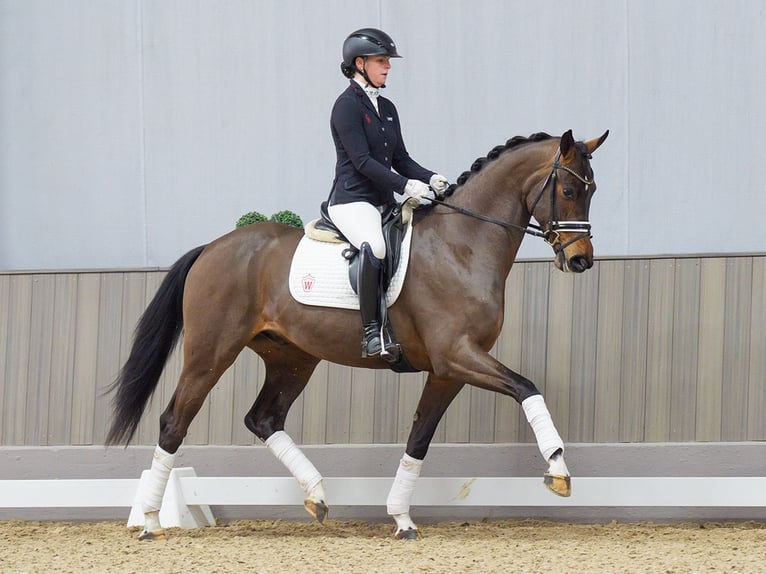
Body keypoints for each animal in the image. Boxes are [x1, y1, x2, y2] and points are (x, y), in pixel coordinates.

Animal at [106, 129, 612, 540]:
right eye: (569, 189)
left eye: (592, 190)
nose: (581, 260)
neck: (462, 245)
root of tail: (212, 247)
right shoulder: (457, 355)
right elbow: (527, 387)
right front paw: (558, 468)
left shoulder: (448, 371)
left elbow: (419, 439)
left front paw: (401, 518)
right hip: (211, 352)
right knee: (174, 421)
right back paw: (149, 521)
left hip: (293, 359)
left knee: (263, 418)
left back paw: (316, 494)